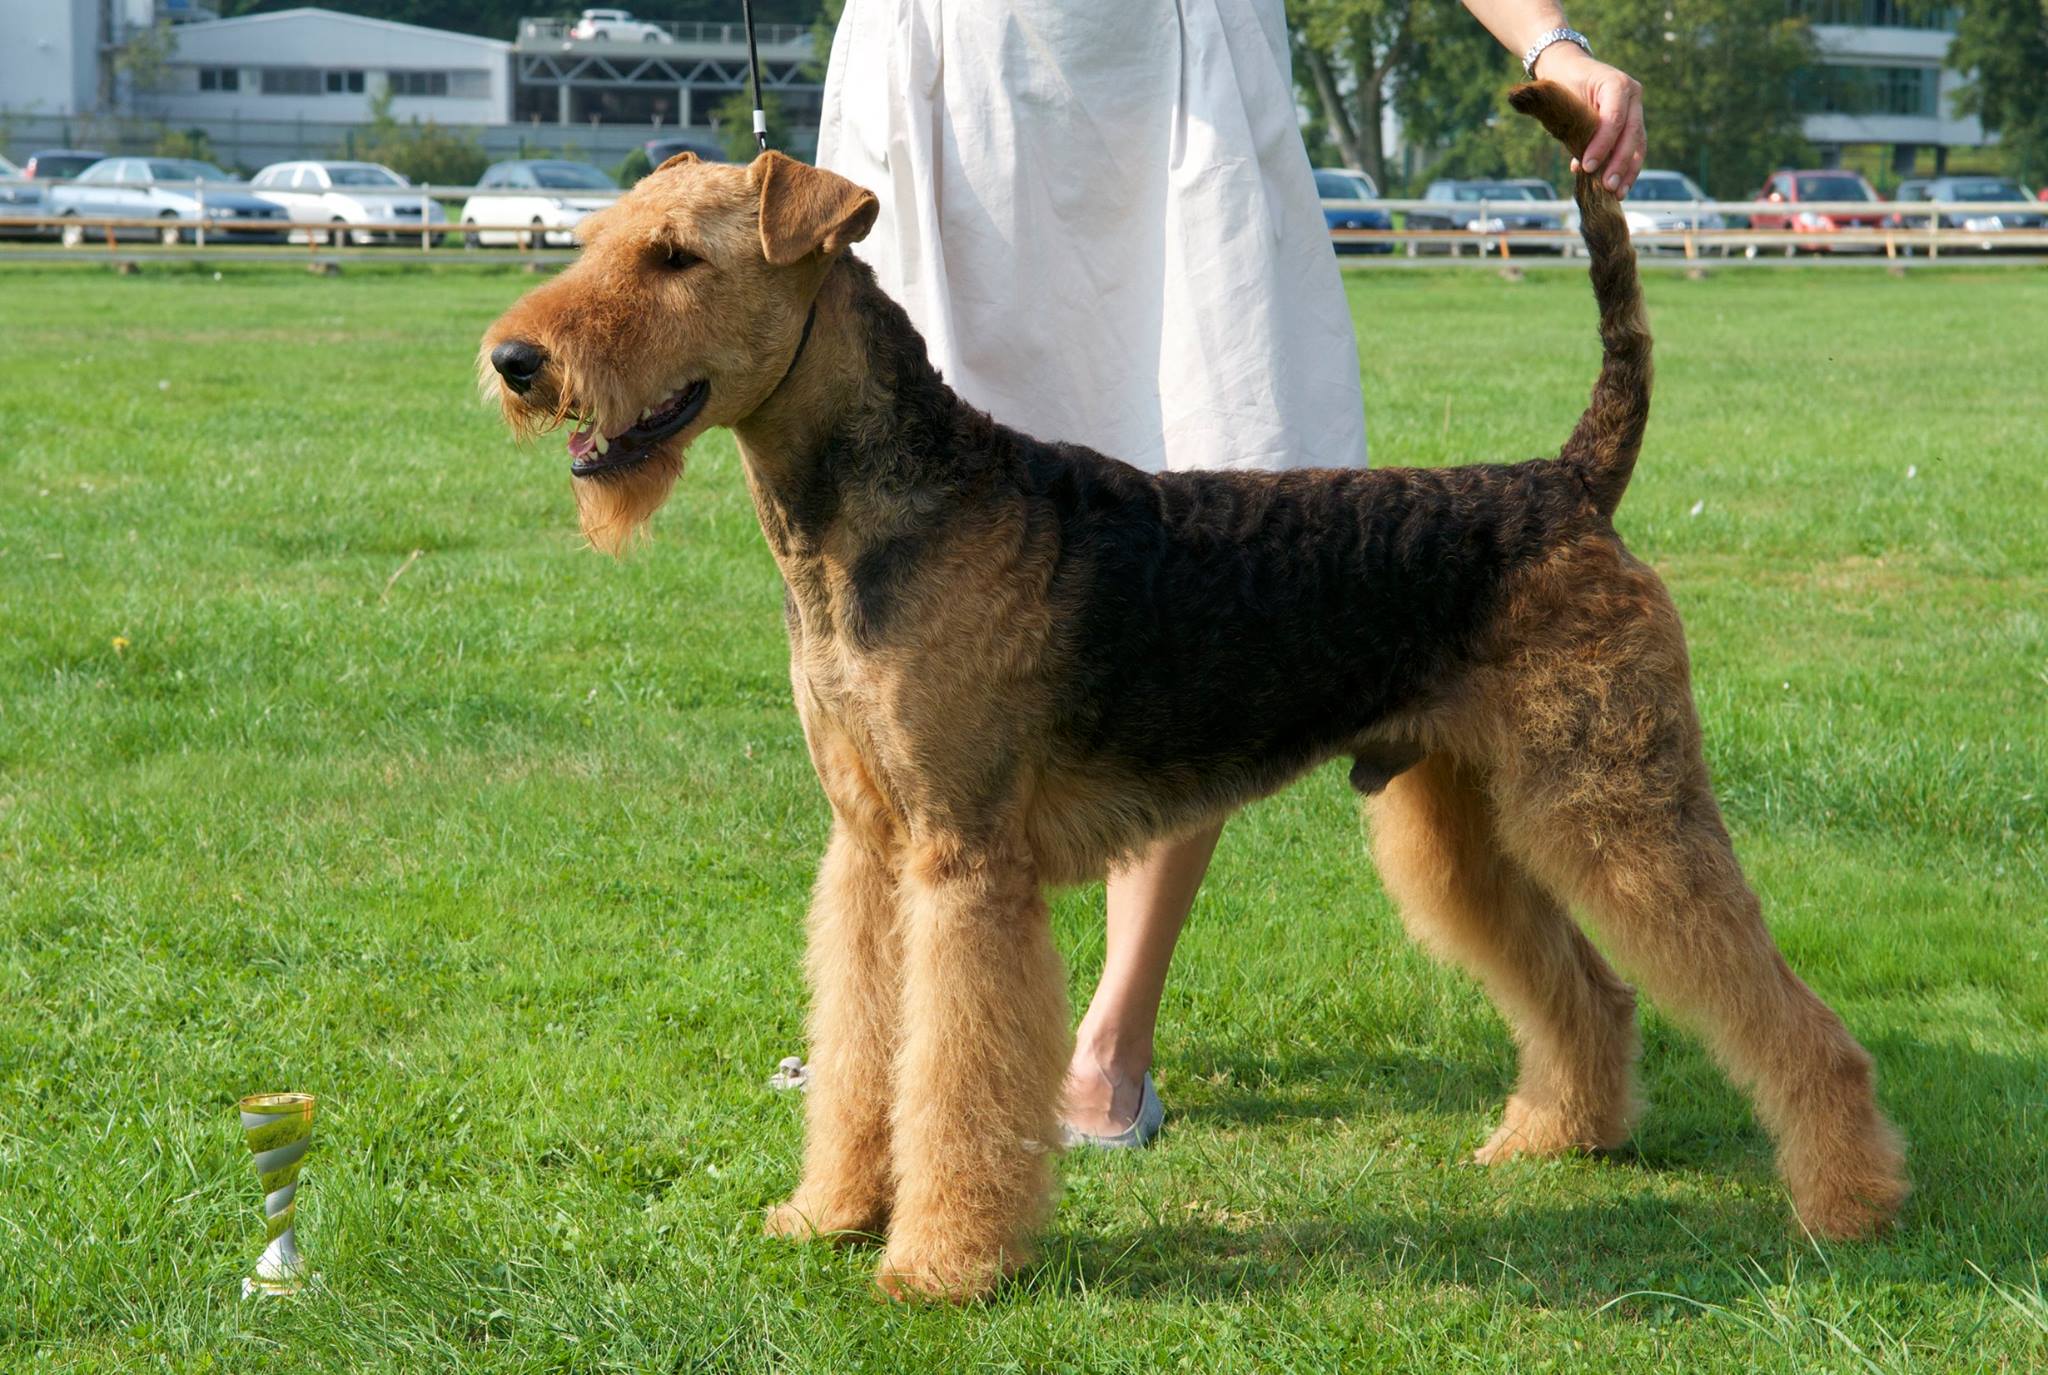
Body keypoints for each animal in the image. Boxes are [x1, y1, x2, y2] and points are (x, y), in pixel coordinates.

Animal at [480, 83, 1908, 1300]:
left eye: (677, 258)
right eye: (600, 239)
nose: (513, 361)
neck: (873, 516)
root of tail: (1566, 482)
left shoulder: (964, 861)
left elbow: (949, 1069)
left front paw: (939, 1262)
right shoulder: (870, 846)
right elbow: (860, 1046)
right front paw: (828, 1210)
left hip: (1615, 799)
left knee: (1776, 1009)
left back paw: (1848, 1200)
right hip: (1463, 815)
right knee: (1592, 990)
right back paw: (1561, 1138)